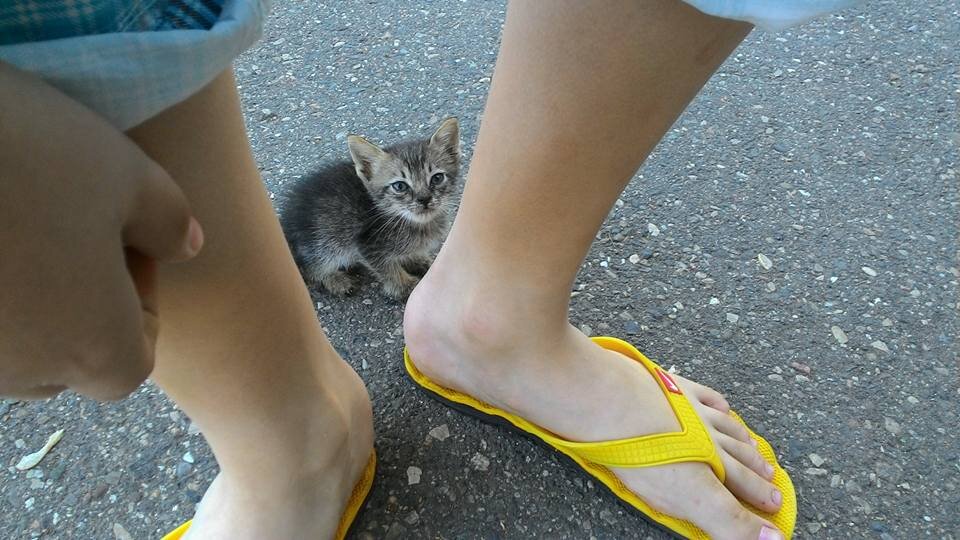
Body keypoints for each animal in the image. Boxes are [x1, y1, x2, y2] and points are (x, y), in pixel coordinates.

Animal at [280, 118, 460, 300]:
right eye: (400, 186)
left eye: (437, 178)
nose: (424, 199)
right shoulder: (367, 245)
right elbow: (387, 268)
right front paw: (406, 286)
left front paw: (417, 259)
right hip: (324, 242)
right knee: (308, 267)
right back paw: (334, 279)